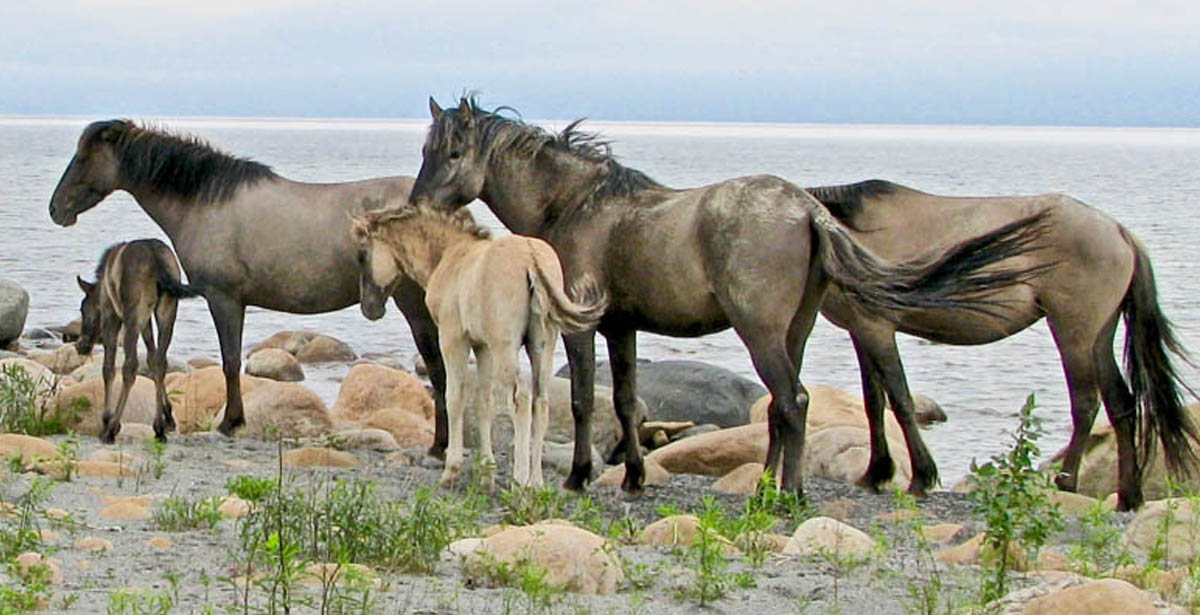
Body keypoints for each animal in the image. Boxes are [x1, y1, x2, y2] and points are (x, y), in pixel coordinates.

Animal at [75, 237, 199, 444]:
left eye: (83, 309)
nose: (81, 346)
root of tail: (158, 261)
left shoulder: (111, 315)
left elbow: (108, 368)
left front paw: (106, 420)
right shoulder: (146, 320)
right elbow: (152, 357)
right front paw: (169, 417)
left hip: (133, 313)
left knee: (130, 366)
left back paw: (112, 428)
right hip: (167, 309)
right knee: (161, 362)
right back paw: (159, 428)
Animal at [350, 204, 609, 487]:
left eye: (362, 255)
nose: (369, 308)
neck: (451, 256)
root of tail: (531, 259)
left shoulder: (453, 339)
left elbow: (454, 397)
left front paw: (451, 470)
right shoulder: (483, 347)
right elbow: (484, 403)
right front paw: (487, 472)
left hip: (505, 347)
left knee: (521, 397)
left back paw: (520, 479)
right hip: (542, 345)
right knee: (541, 401)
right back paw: (537, 481)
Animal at [403, 97, 1051, 499]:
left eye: (454, 152)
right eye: (425, 151)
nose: (418, 203)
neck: (578, 205)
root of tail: (807, 209)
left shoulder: (582, 328)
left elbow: (585, 402)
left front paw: (580, 476)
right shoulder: (621, 328)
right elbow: (627, 401)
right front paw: (633, 477)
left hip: (759, 331)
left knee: (793, 401)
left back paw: (787, 493)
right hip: (795, 331)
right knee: (784, 408)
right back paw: (766, 484)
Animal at [806, 178, 1200, 509]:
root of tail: (1119, 232)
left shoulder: (877, 328)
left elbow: (900, 400)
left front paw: (920, 477)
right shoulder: (861, 331)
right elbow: (874, 403)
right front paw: (875, 473)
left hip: (1074, 332)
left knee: (1086, 402)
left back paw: (1066, 483)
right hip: (1099, 337)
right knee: (1121, 403)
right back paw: (1128, 497)